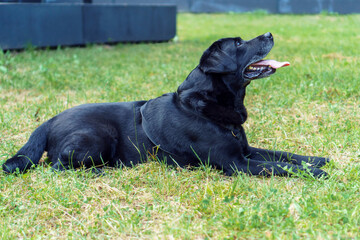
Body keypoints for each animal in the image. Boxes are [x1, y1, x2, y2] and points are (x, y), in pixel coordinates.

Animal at [2, 32, 330, 177]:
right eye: (239, 44)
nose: (270, 33)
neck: (204, 105)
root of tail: (47, 122)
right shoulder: (236, 163)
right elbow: (278, 166)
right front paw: (315, 173)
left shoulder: (246, 150)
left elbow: (284, 155)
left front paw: (316, 160)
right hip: (98, 135)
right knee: (57, 166)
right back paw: (100, 172)